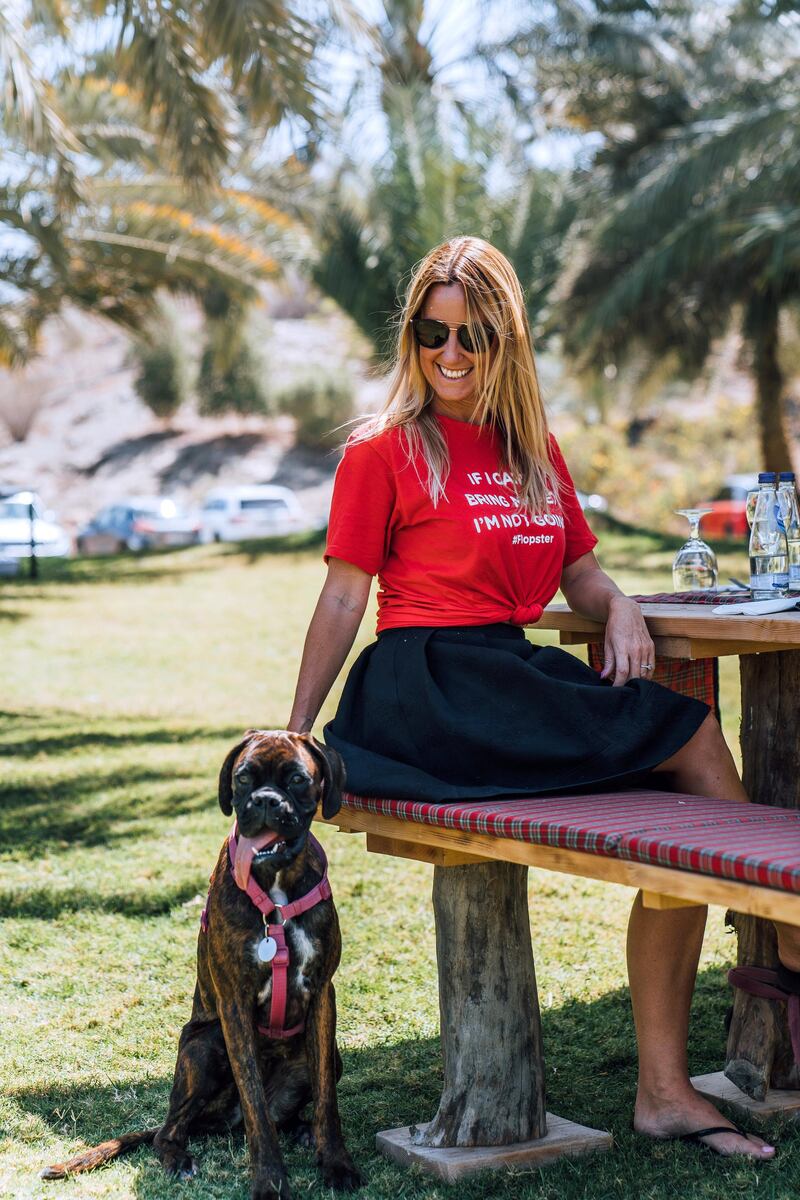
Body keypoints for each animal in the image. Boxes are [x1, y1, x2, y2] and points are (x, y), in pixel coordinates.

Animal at [45, 724, 364, 1200]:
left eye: (296, 780)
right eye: (244, 778)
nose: (265, 801)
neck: (275, 888)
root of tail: (217, 1122)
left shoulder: (323, 994)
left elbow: (327, 1100)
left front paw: (336, 1164)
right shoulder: (233, 1006)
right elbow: (255, 1107)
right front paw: (270, 1180)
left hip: (324, 1054)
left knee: (280, 1115)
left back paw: (302, 1130)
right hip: (205, 1044)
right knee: (171, 1131)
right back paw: (179, 1159)